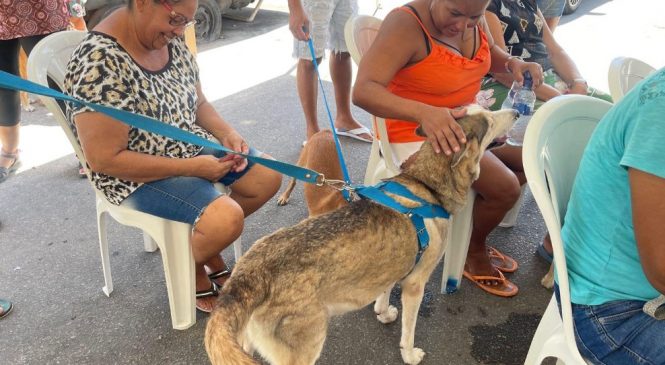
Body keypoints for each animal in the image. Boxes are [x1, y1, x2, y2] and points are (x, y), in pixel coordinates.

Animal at [205, 109, 516, 364]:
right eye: (489, 120)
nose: (516, 111)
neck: (426, 185)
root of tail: (249, 275)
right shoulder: (415, 285)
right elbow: (409, 332)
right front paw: (410, 354)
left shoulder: (394, 265)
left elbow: (384, 294)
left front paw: (384, 313)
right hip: (304, 350)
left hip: (245, 345)